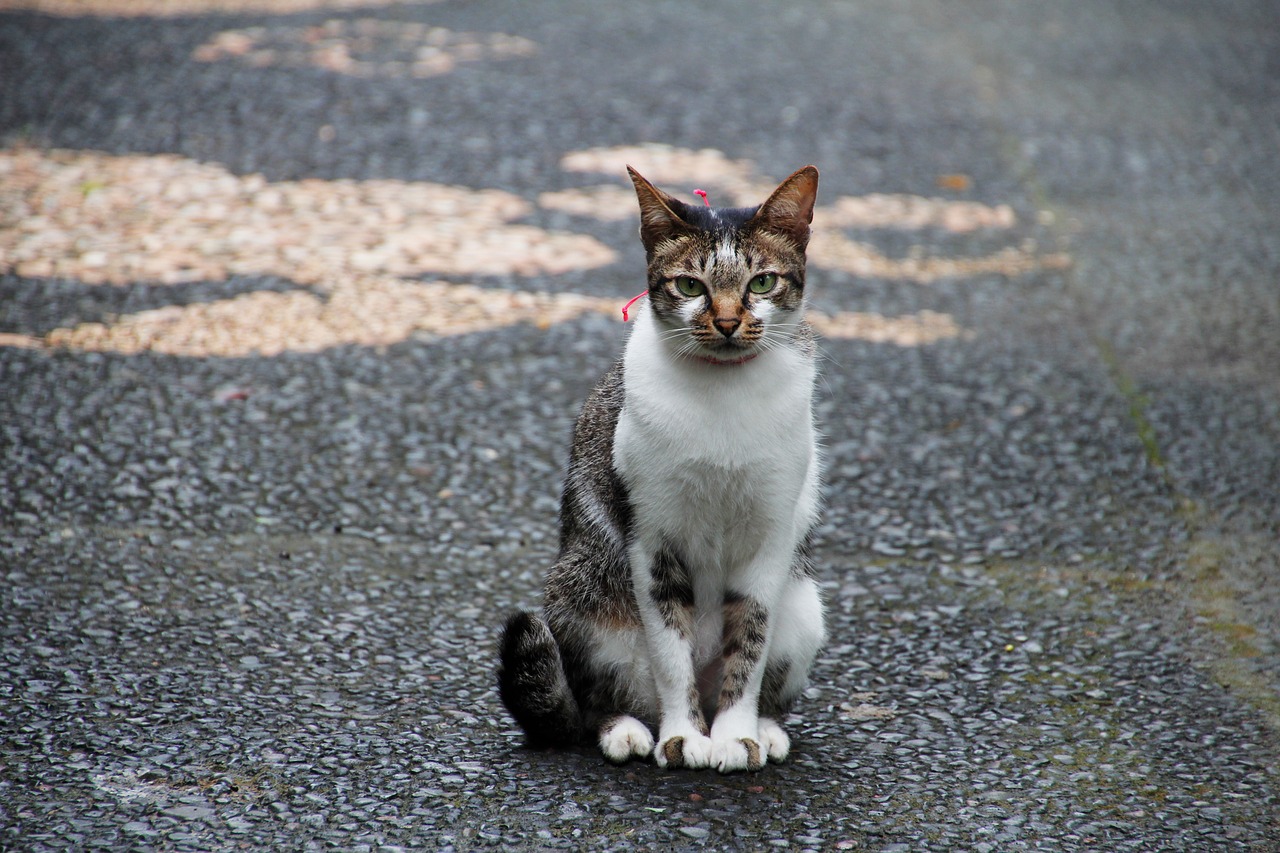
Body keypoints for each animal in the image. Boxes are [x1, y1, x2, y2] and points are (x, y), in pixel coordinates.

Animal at [494, 161, 824, 768]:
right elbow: (672, 656)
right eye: (690, 285)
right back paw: (626, 730)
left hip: (805, 605)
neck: (723, 393)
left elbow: (749, 646)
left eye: (761, 283)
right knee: (595, 701)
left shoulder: (769, 538)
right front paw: (685, 737)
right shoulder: (652, 539)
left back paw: (765, 728)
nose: (726, 322)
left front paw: (736, 734)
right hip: (580, 594)